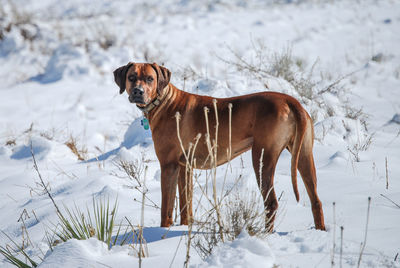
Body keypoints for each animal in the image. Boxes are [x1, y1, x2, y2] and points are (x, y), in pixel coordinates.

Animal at [112, 62, 324, 230]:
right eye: (131, 77)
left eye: (150, 78)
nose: (138, 92)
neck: (164, 101)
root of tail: (291, 101)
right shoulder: (184, 167)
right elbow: (186, 206)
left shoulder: (169, 166)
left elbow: (166, 209)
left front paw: (162, 233)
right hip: (304, 155)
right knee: (316, 199)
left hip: (262, 157)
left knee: (271, 202)